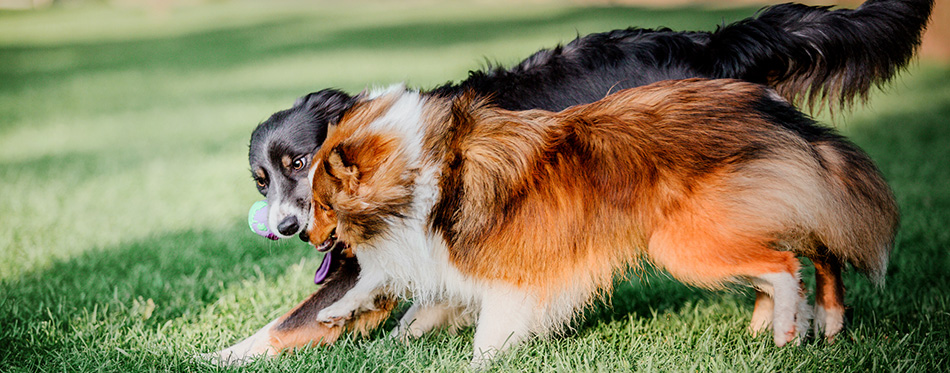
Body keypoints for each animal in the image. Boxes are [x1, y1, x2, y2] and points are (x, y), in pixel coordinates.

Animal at [306, 78, 900, 364]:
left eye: (321, 205)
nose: (305, 237)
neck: (426, 165)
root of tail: (766, 104)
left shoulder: (509, 272)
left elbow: (488, 329)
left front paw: (474, 362)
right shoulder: (442, 257)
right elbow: (393, 290)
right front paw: (340, 314)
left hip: (686, 242)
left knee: (784, 263)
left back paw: (784, 331)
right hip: (746, 216)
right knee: (814, 251)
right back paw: (815, 322)